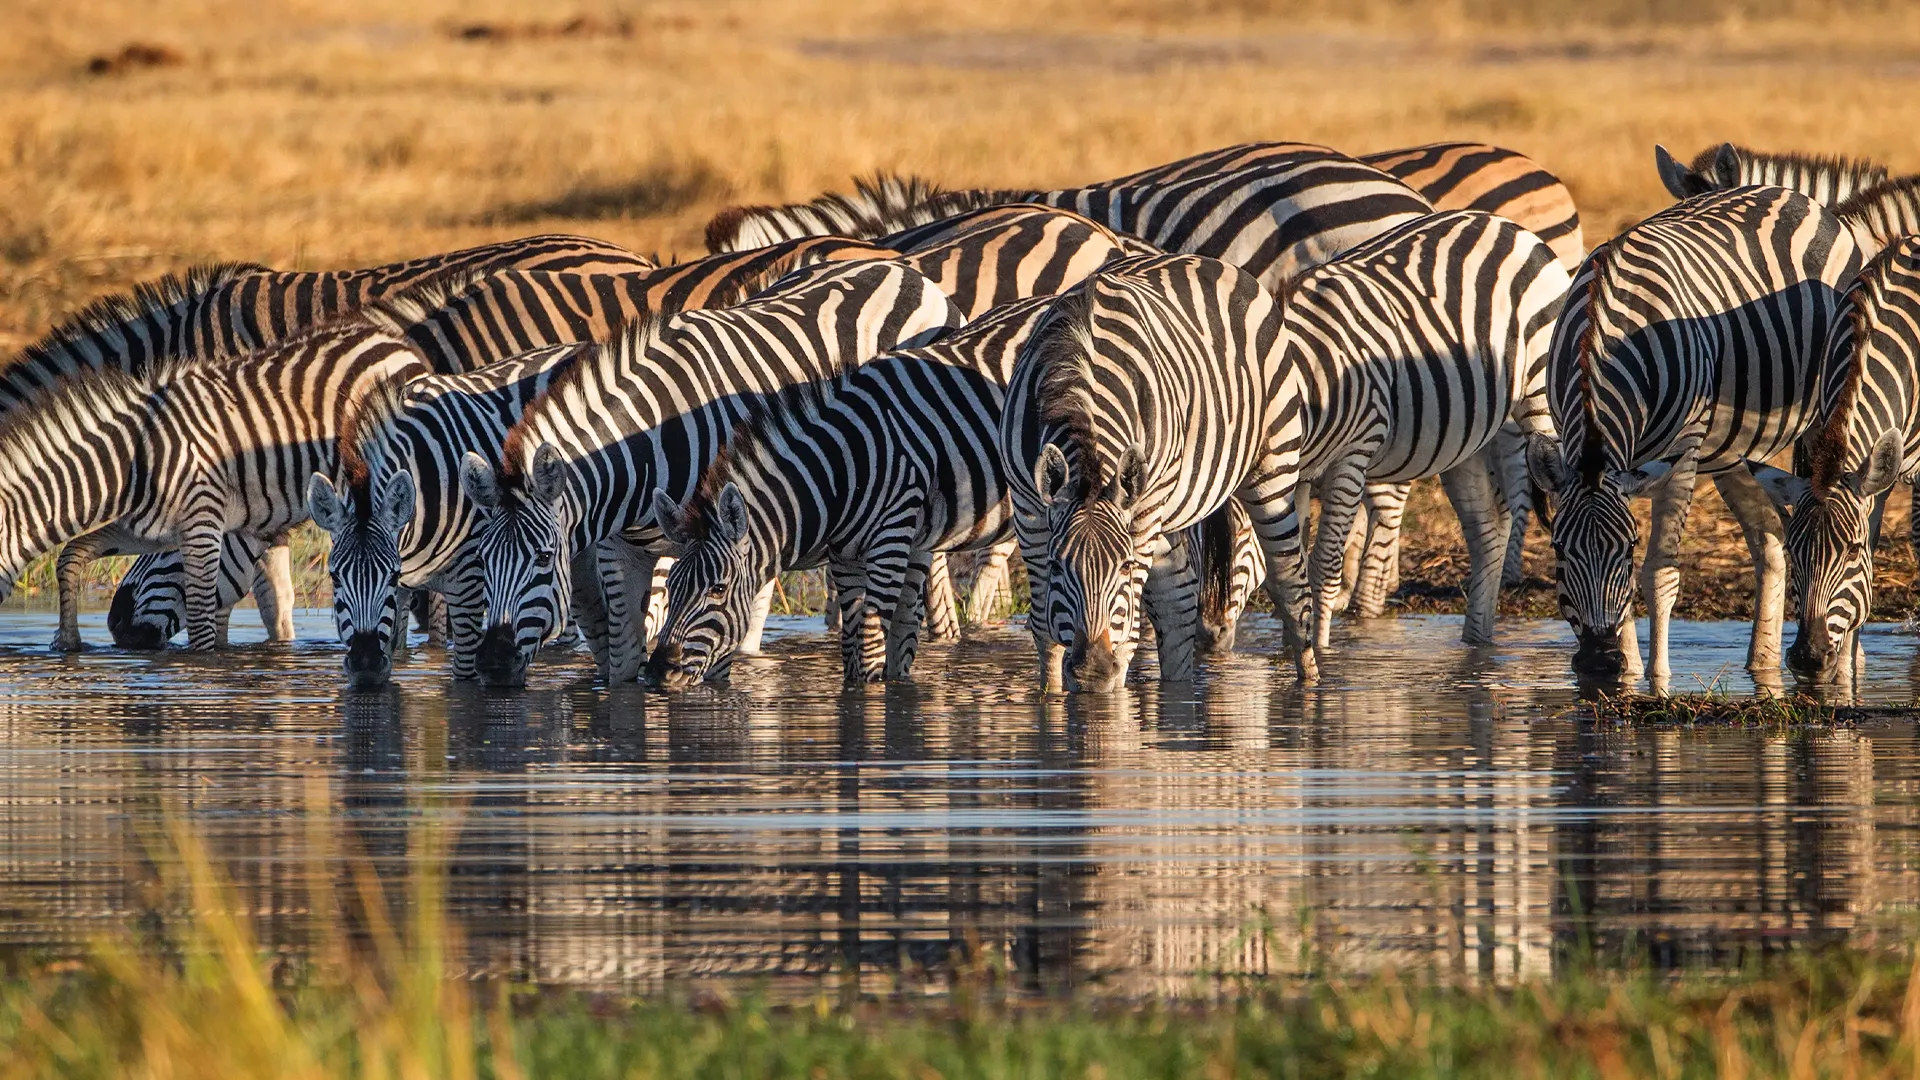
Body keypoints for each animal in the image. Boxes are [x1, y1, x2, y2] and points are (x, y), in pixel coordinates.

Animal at [0, 317, 427, 648]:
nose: (118, 628)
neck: (134, 462)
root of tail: (391, 340)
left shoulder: (202, 524)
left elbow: (202, 624)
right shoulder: (150, 530)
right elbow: (71, 554)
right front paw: (67, 643)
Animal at [460, 257, 961, 687]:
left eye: (544, 558)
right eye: (481, 559)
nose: (492, 665)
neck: (643, 450)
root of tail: (903, 269)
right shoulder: (621, 553)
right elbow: (624, 667)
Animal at [1001, 253, 1317, 691]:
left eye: (1125, 565)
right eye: (1058, 566)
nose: (1093, 669)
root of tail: (1208, 260)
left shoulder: (1142, 513)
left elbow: (1128, 634)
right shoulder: (1028, 509)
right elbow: (1046, 634)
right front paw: (1053, 698)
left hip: (1271, 466)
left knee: (1291, 586)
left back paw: (1310, 686)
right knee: (1177, 605)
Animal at [1196, 210, 1571, 652]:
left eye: (1242, 535)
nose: (1208, 636)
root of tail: (1508, 226)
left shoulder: (1352, 457)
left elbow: (1323, 566)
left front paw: (1319, 649)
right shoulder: (1295, 473)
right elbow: (1288, 570)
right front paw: (1291, 650)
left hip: (1541, 398)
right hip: (1465, 437)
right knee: (1488, 531)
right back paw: (1476, 646)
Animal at [1524, 186, 1860, 685]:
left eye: (1628, 548)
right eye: (1559, 550)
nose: (1599, 661)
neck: (1602, 339)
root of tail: (1789, 194)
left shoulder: (1682, 452)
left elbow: (1659, 575)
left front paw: (1657, 681)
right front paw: (1625, 674)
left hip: (1821, 406)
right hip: (1730, 450)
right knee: (1770, 538)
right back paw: (1762, 664)